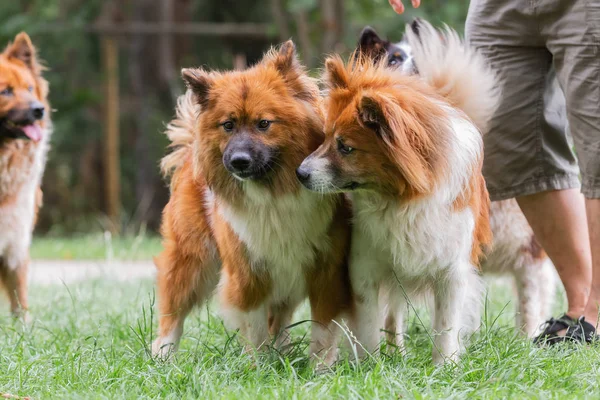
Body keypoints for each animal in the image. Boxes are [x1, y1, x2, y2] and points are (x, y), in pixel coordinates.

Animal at [152, 41, 354, 366]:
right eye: (228, 125)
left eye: (263, 124)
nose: (239, 161)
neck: (273, 195)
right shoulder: (248, 273)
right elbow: (255, 329)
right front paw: (259, 368)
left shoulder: (326, 272)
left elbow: (322, 331)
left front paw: (319, 369)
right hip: (191, 260)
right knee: (172, 314)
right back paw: (163, 357)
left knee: (280, 319)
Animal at [296, 22, 496, 366]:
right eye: (324, 138)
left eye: (346, 147)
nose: (300, 174)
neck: (401, 199)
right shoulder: (364, 267)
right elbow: (368, 324)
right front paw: (370, 365)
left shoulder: (452, 271)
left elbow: (445, 326)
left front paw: (444, 367)